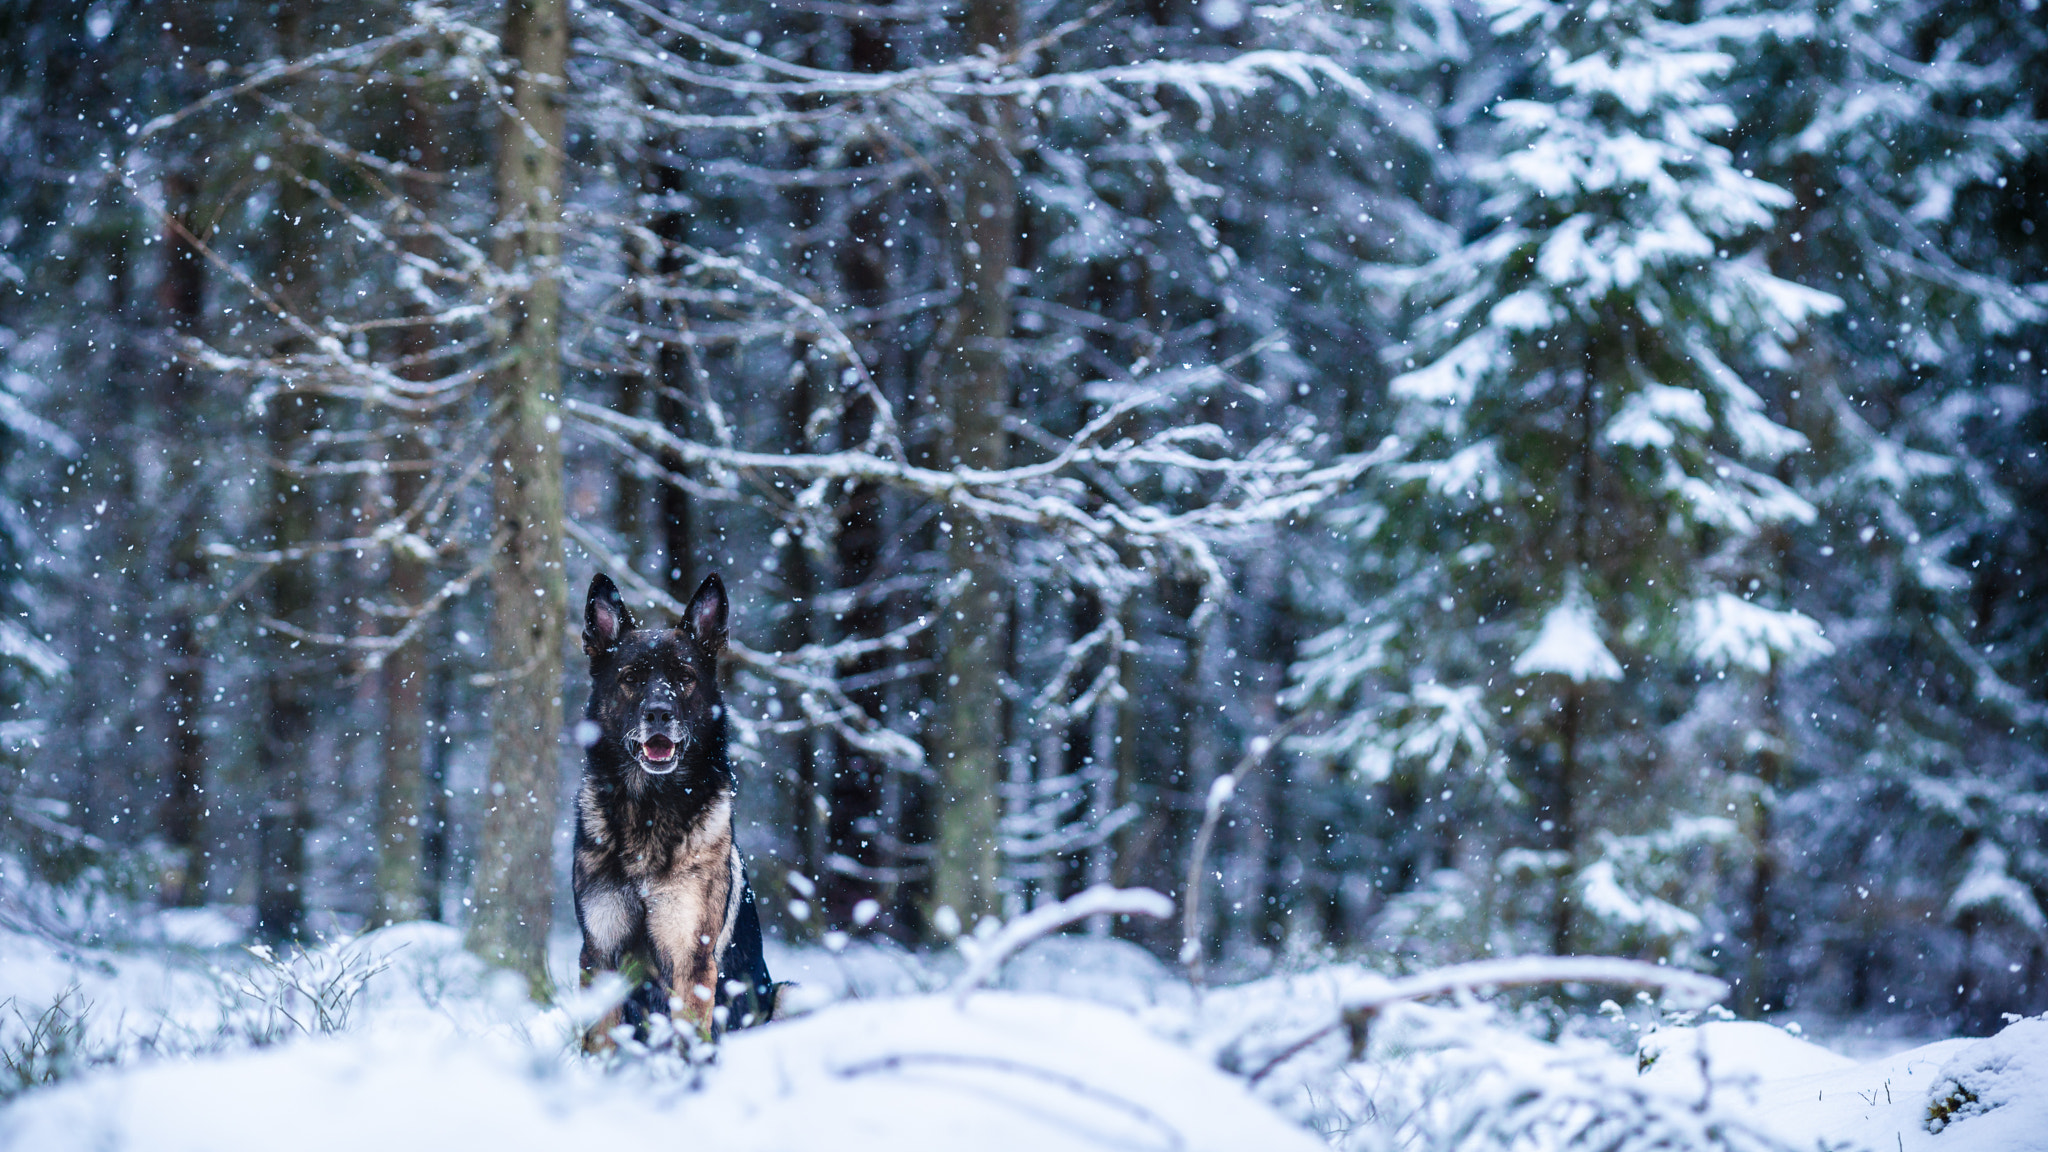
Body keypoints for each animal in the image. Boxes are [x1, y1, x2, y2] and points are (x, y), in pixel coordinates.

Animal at [577, 569, 774, 1045]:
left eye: (684, 677)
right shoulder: (599, 956)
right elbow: (600, 1043)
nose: (658, 713)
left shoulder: (690, 960)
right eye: (631, 677)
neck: (649, 809)